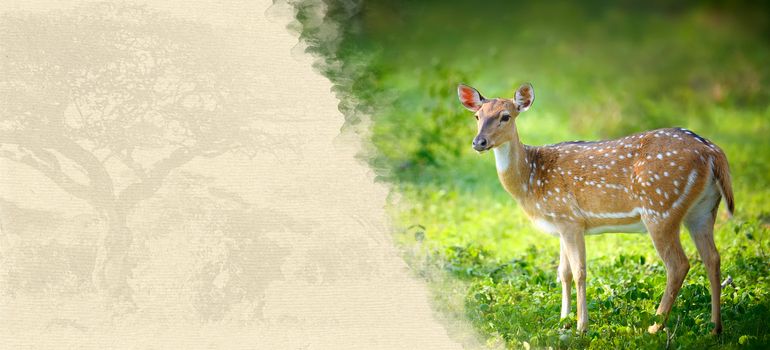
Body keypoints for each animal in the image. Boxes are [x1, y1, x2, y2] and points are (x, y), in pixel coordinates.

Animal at [456, 81, 732, 334]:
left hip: (660, 208)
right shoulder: (561, 223)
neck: (530, 180)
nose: (479, 142)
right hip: (703, 210)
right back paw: (715, 328)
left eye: (506, 116)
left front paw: (581, 327)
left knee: (678, 265)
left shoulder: (569, 218)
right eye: (477, 116)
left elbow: (579, 272)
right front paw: (563, 322)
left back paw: (654, 328)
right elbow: (563, 272)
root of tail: (713, 152)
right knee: (713, 258)